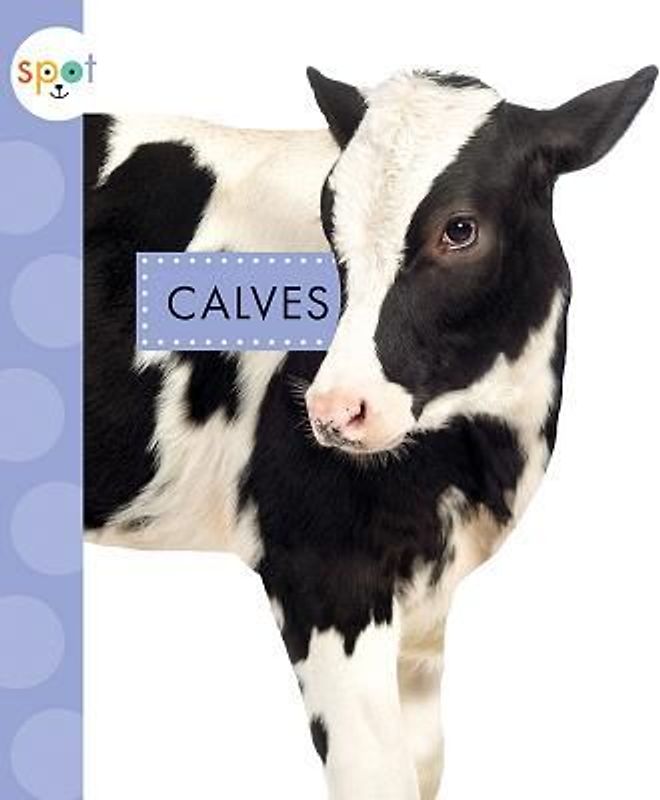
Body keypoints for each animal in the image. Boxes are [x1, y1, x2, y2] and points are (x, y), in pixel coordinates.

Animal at [84, 65, 656, 799]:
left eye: (460, 229)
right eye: (330, 220)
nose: (334, 409)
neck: (479, 462)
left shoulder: (425, 603)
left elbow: (425, 763)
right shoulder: (324, 572)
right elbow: (376, 774)